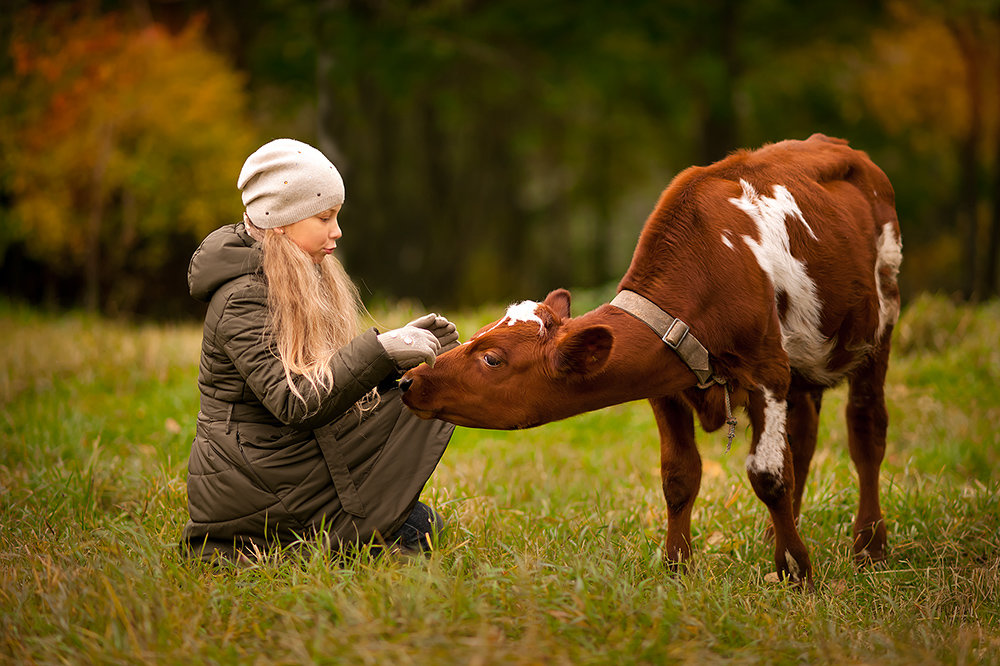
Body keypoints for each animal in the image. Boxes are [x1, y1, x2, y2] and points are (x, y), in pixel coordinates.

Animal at [402, 135, 904, 588]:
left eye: (491, 358)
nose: (410, 382)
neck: (710, 271)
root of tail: (844, 148)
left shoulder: (768, 372)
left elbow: (769, 475)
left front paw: (795, 572)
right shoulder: (668, 388)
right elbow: (679, 477)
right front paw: (677, 568)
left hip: (878, 331)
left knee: (866, 431)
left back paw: (869, 547)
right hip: (803, 366)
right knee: (802, 440)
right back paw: (775, 535)